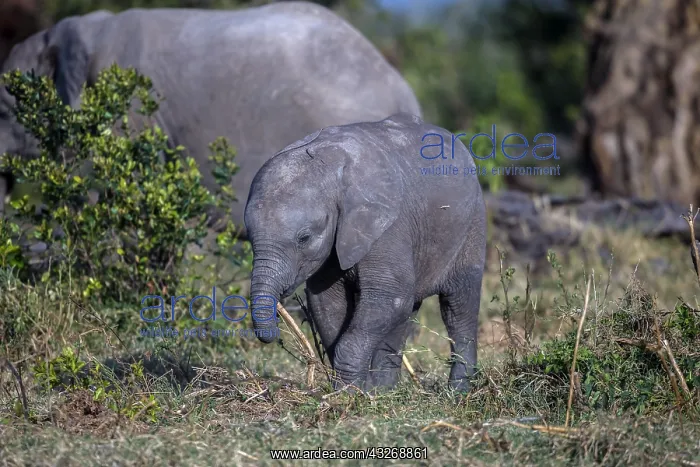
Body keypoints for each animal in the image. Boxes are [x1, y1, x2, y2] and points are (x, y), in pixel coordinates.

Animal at [243, 113, 487, 393]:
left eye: (304, 238)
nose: (274, 335)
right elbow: (327, 303)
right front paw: (359, 391)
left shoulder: (388, 226)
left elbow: (388, 297)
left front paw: (351, 393)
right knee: (406, 316)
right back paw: (386, 391)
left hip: (472, 224)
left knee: (458, 307)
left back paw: (457, 392)